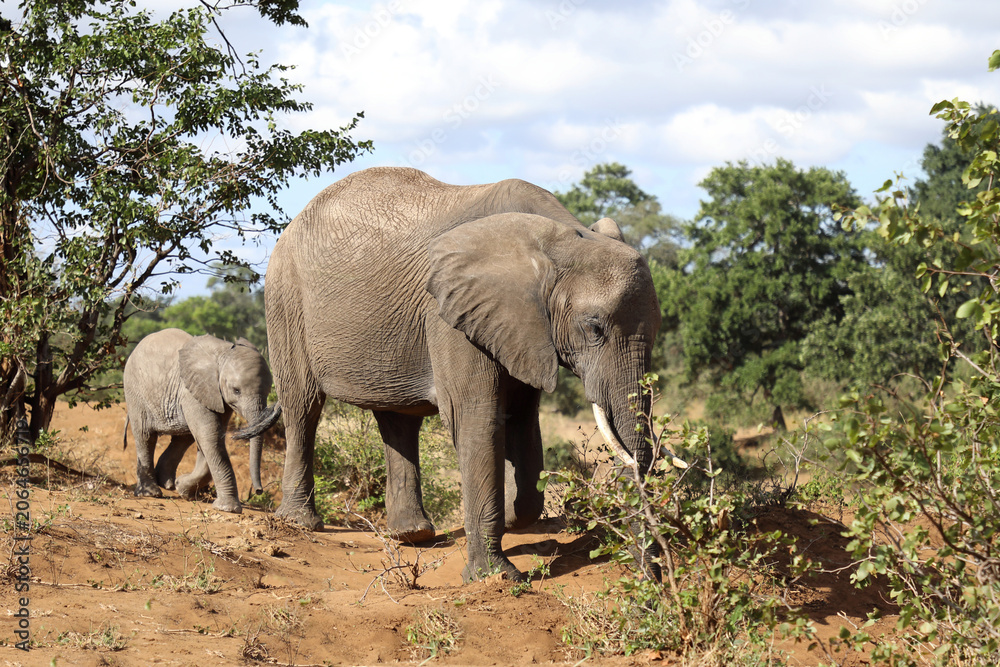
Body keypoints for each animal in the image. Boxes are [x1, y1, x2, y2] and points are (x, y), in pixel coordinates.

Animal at [122, 328, 282, 513]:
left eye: (268, 391)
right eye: (236, 390)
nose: (258, 491)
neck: (223, 353)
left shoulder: (216, 396)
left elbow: (211, 437)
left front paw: (183, 488)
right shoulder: (194, 391)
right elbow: (210, 436)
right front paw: (229, 509)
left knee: (184, 437)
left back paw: (168, 483)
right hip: (134, 389)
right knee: (146, 436)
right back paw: (151, 493)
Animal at [252, 166, 668, 581]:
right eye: (594, 328)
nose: (648, 578)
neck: (561, 236)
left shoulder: (523, 328)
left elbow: (522, 418)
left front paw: (515, 517)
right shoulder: (451, 314)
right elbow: (476, 416)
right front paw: (494, 576)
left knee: (398, 420)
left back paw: (411, 534)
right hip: (285, 298)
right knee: (303, 406)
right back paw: (301, 522)